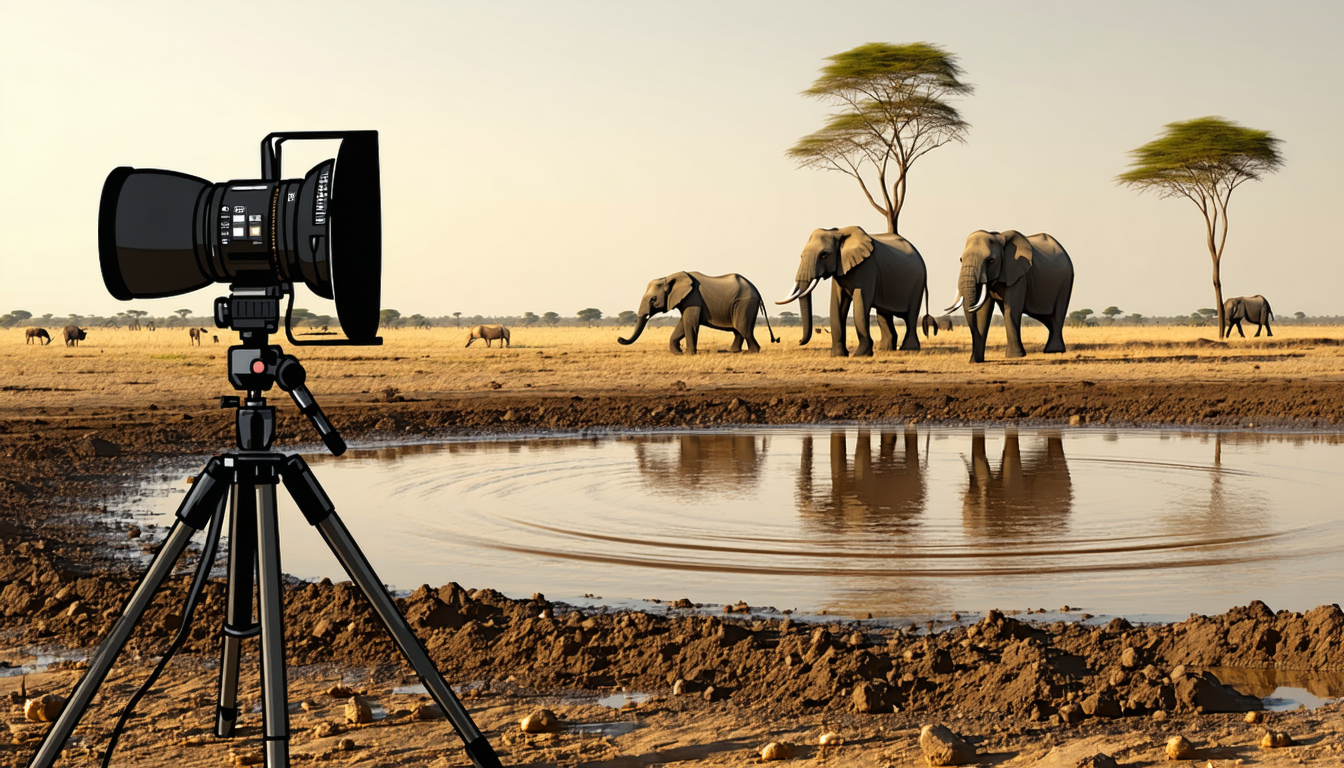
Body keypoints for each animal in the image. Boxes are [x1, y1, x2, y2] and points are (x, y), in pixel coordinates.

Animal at [618, 271, 778, 355]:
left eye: (653, 299)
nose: (620, 339)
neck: (669, 277)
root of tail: (757, 290)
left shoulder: (693, 297)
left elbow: (690, 323)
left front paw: (688, 353)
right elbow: (683, 324)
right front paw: (678, 353)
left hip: (744, 304)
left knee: (743, 328)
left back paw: (752, 352)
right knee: (738, 330)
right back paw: (733, 351)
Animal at [777, 226, 934, 357]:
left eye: (824, 254)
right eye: (801, 256)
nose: (799, 341)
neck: (838, 232)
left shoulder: (867, 267)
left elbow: (861, 304)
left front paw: (860, 355)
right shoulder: (840, 268)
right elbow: (837, 304)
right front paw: (838, 356)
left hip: (918, 281)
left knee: (911, 315)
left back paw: (908, 349)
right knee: (884, 314)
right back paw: (885, 349)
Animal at [947, 230, 1074, 363]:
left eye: (991, 261)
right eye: (961, 260)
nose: (974, 359)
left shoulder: (1019, 276)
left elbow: (1012, 309)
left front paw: (1015, 356)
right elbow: (982, 312)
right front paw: (975, 361)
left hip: (1066, 282)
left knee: (1058, 313)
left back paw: (1053, 351)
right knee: (1048, 318)